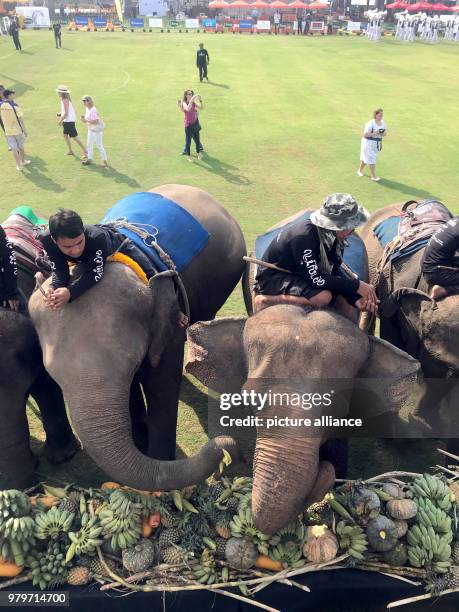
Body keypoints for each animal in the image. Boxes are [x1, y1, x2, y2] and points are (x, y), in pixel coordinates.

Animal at [27, 184, 248, 490]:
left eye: (132, 360)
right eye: (53, 374)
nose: (231, 451)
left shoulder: (168, 317)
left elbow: (160, 382)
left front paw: (159, 458)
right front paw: (140, 438)